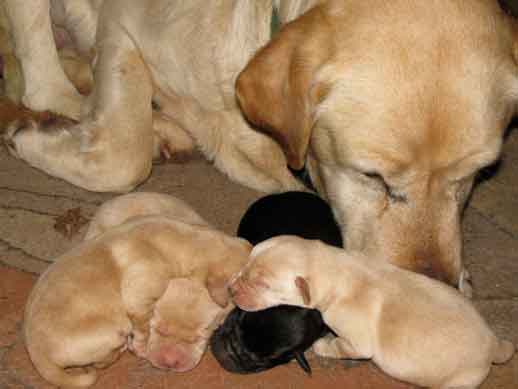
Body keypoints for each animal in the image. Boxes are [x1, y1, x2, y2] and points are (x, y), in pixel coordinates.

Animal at [24, 192, 252, 386]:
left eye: (198, 337)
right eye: (159, 329)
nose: (170, 363)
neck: (189, 239)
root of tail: (36, 352)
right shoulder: (139, 295)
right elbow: (142, 326)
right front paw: (141, 346)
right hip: (112, 331)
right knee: (101, 362)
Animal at [232, 235, 516, 386]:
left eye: (262, 285)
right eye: (244, 265)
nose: (231, 290)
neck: (335, 267)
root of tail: (494, 345)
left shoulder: (358, 343)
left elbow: (340, 346)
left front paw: (322, 346)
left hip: (461, 380)